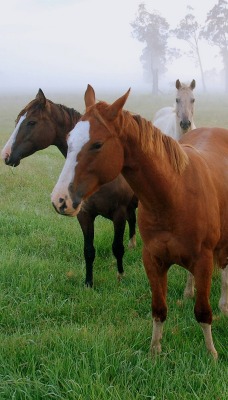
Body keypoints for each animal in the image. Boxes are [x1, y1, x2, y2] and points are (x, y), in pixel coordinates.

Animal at [1, 88, 137, 286]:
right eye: (17, 120)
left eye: (31, 122)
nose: (6, 155)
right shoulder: (84, 215)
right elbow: (89, 251)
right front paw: (88, 283)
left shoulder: (118, 213)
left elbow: (117, 247)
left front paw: (120, 277)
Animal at [51, 83, 228, 356]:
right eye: (69, 140)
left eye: (97, 144)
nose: (60, 199)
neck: (175, 194)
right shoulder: (152, 260)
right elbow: (159, 309)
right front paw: (155, 352)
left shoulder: (204, 260)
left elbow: (203, 312)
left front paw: (212, 354)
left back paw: (224, 304)